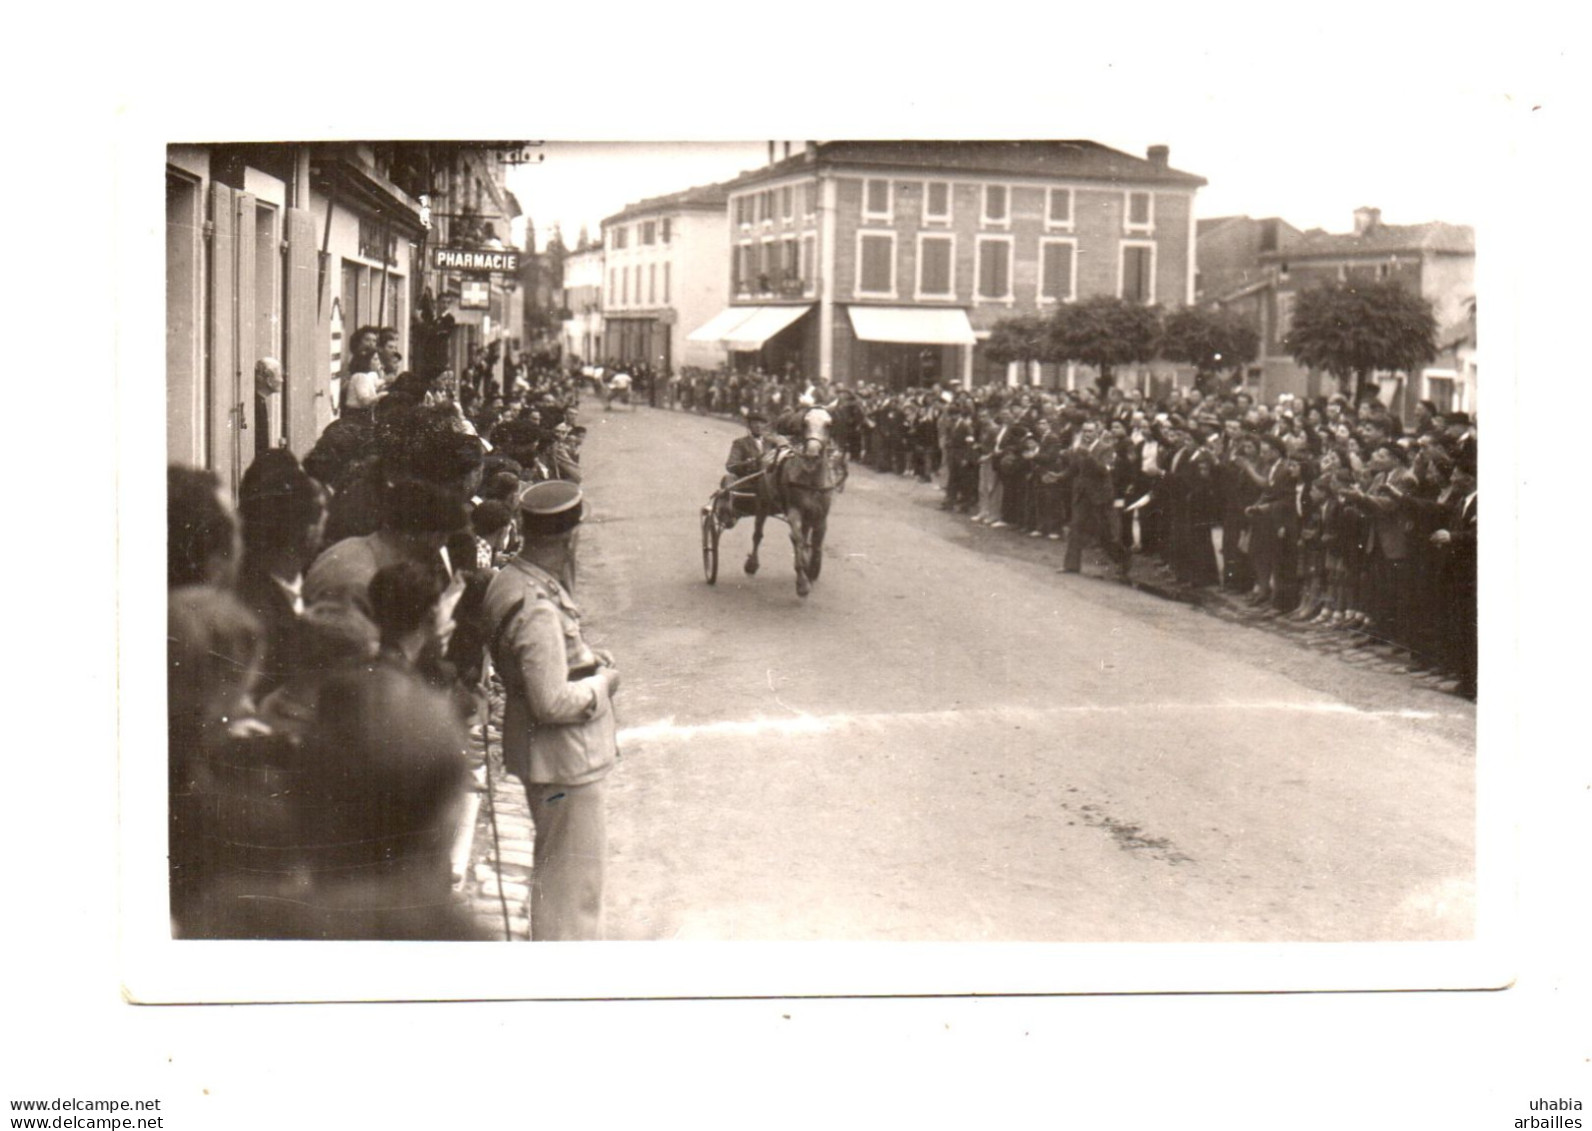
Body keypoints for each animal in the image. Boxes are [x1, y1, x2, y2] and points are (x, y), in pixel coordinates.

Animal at [745, 410, 846, 602]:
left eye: (828, 424)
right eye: (805, 423)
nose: (812, 454)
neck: (811, 480)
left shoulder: (820, 516)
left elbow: (816, 544)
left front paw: (812, 569)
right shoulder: (794, 511)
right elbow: (798, 541)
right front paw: (802, 584)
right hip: (763, 503)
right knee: (757, 534)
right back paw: (752, 564)